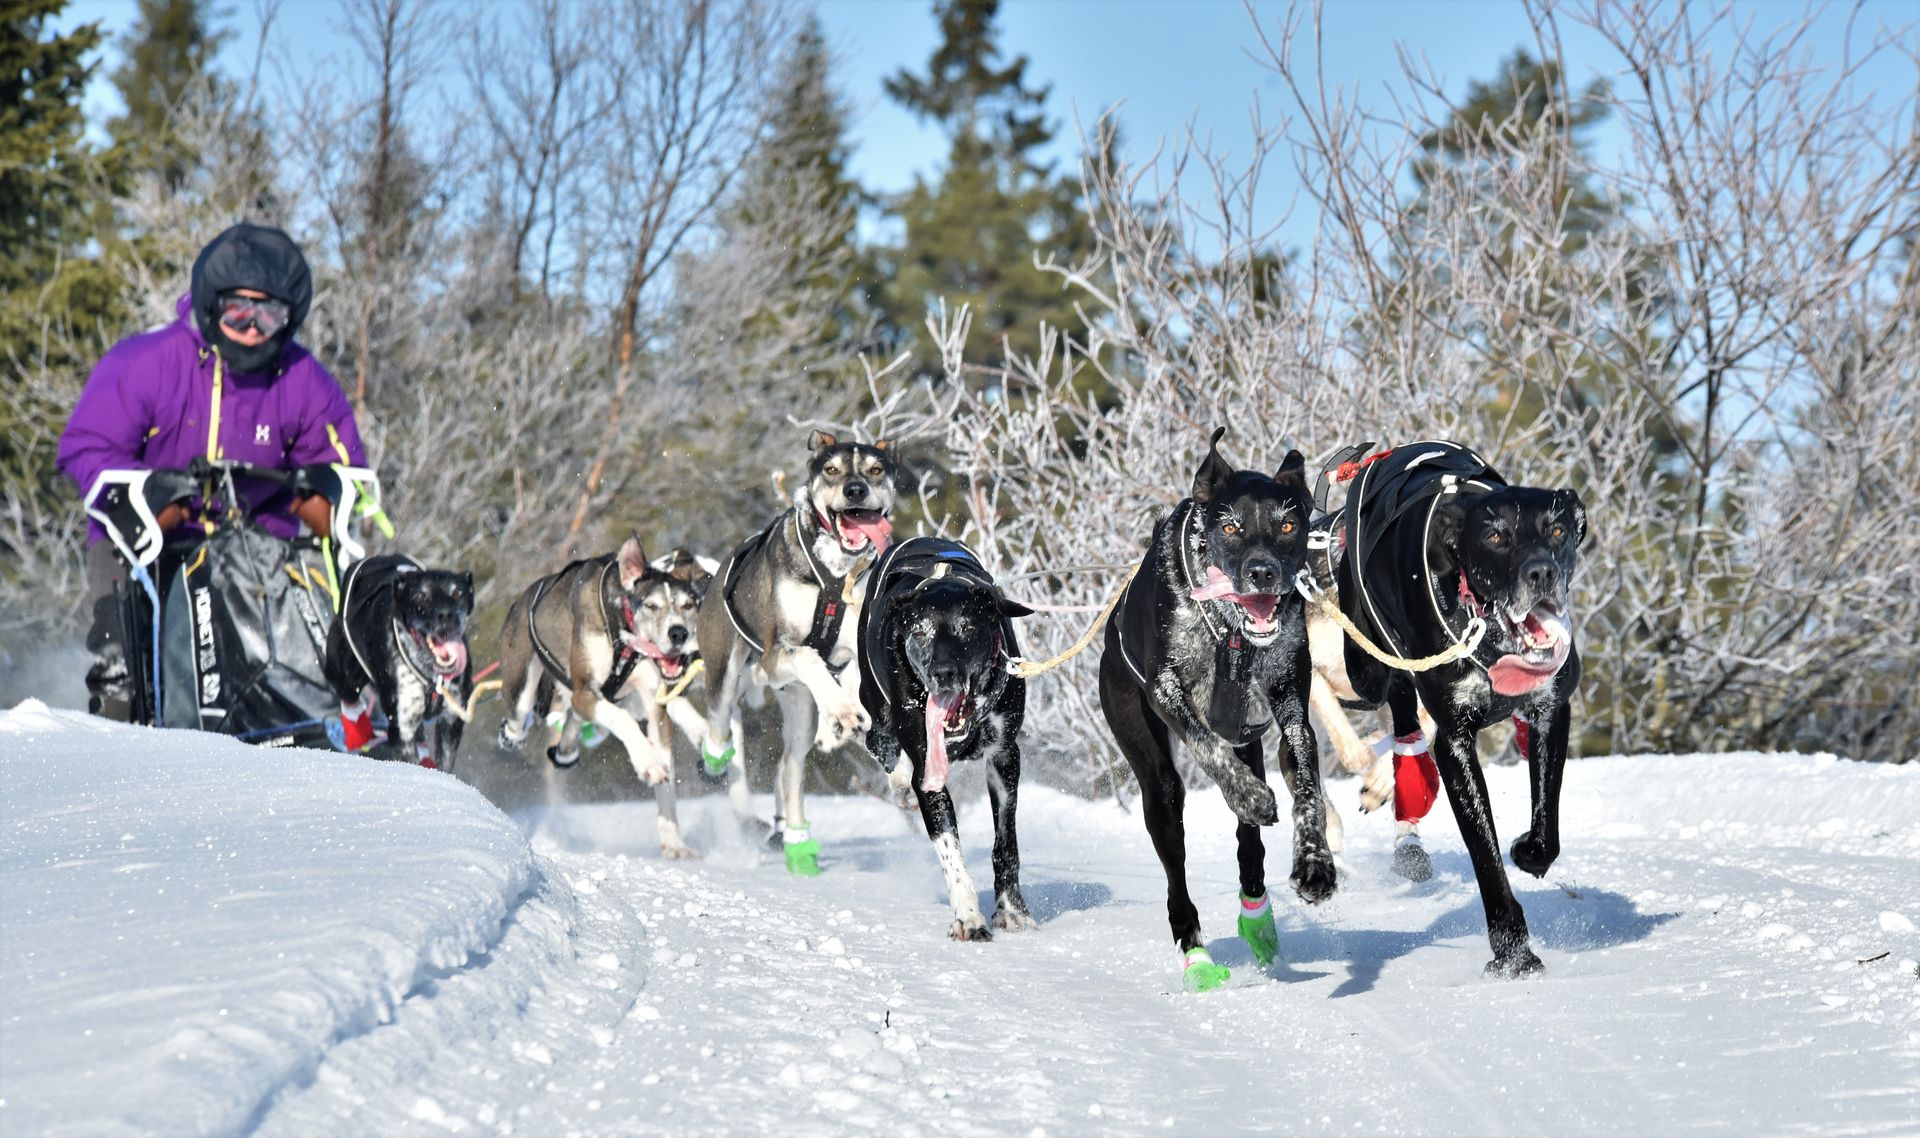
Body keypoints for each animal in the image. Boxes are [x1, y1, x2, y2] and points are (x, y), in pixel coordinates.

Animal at [322, 552, 472, 767]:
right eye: (419, 596)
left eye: (458, 592)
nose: (447, 615)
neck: (429, 676)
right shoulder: (401, 729)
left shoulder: (451, 719)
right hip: (345, 674)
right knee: (349, 700)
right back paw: (358, 734)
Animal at [695, 429, 894, 875]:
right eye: (832, 469)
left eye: (876, 469)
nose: (856, 490)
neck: (835, 574)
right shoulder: (777, 654)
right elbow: (806, 655)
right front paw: (842, 712)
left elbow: (854, 671)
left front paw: (843, 713)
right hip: (726, 672)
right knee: (719, 725)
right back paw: (715, 759)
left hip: (799, 707)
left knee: (790, 767)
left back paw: (799, 843)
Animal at [856, 541, 1036, 940]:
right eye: (919, 632)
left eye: (967, 627)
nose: (943, 673)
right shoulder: (929, 769)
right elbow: (949, 849)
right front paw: (968, 915)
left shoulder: (1004, 756)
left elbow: (1007, 843)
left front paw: (1012, 909)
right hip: (876, 709)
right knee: (880, 743)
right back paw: (899, 784)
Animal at [1098, 429, 1336, 990]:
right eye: (1230, 527)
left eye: (1288, 525)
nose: (1262, 572)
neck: (1231, 636)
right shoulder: (1165, 691)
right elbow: (1204, 743)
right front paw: (1249, 796)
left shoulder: (1290, 707)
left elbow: (1308, 789)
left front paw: (1315, 863)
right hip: (1153, 773)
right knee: (1177, 875)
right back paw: (1196, 955)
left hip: (1249, 740)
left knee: (1250, 849)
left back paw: (1259, 920)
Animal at [1336, 439, 1589, 971]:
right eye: (1495, 536)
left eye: (1556, 530)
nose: (1542, 571)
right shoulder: (1455, 742)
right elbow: (1485, 855)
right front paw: (1513, 950)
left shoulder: (1552, 710)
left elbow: (1546, 826)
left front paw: (1529, 850)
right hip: (1365, 665)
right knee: (1396, 701)